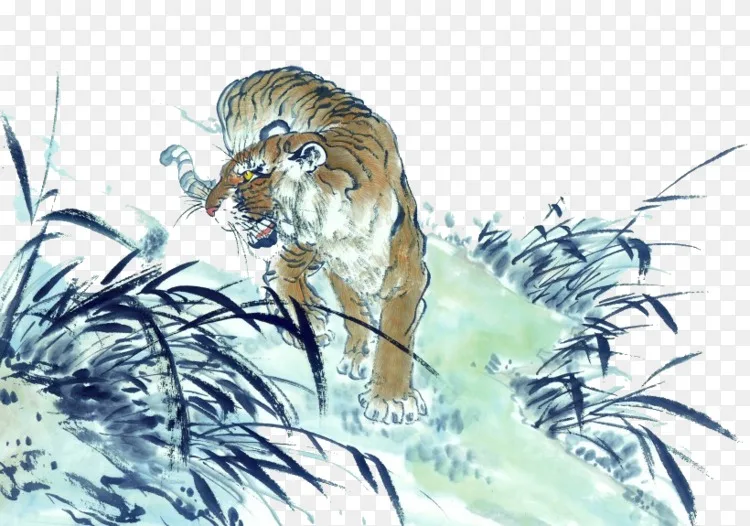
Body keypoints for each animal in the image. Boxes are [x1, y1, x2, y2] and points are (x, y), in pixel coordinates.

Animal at [162, 66, 430, 424]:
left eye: (249, 176)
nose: (209, 207)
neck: (340, 228)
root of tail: (249, 78)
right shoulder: (312, 253)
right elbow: (309, 289)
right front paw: (314, 327)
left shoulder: (407, 273)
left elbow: (394, 333)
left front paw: (389, 397)